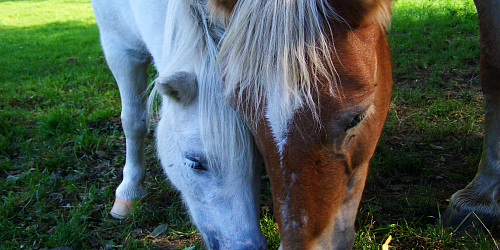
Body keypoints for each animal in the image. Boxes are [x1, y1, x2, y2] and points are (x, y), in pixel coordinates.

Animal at [92, 0, 268, 249]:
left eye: (259, 159)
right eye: (195, 163)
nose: (248, 246)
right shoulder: (119, 48)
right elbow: (133, 122)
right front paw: (130, 190)